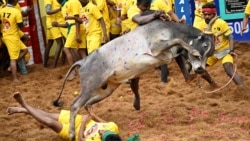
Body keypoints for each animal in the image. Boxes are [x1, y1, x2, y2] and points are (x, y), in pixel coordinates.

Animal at [52, 19, 215, 141]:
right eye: (205, 45)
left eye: (210, 53)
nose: (200, 69)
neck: (171, 28)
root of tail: (83, 61)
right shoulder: (157, 46)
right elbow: (178, 41)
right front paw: (193, 51)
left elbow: (183, 65)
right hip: (89, 87)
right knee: (75, 105)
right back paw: (72, 133)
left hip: (106, 90)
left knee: (86, 105)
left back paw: (100, 121)